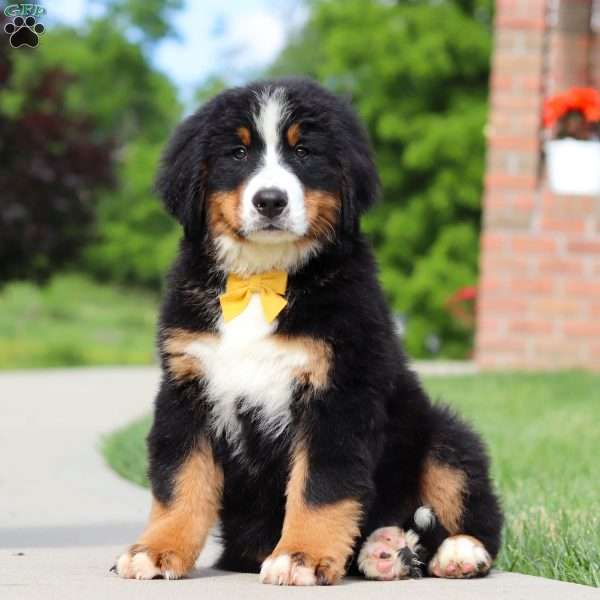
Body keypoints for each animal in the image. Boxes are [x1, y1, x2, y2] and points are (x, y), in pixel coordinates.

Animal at [111, 77, 502, 584]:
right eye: (238, 152)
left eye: (304, 152)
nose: (270, 201)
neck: (261, 280)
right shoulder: (187, 387)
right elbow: (180, 481)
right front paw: (156, 550)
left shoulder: (339, 391)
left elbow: (320, 486)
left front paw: (302, 556)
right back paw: (385, 550)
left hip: (443, 434)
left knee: (474, 507)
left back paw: (454, 552)